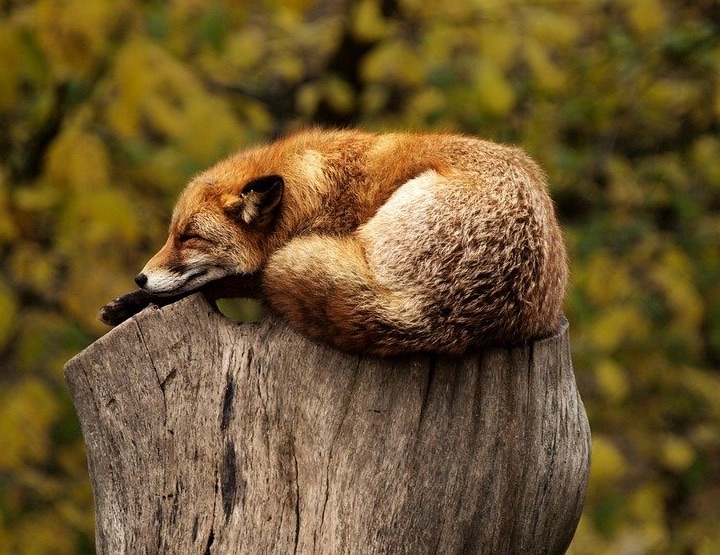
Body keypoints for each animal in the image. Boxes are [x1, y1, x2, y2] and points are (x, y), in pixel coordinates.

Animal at [100, 129, 568, 356]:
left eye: (189, 237)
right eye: (171, 234)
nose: (140, 277)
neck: (311, 193)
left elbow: (226, 282)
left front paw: (134, 302)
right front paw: (128, 302)